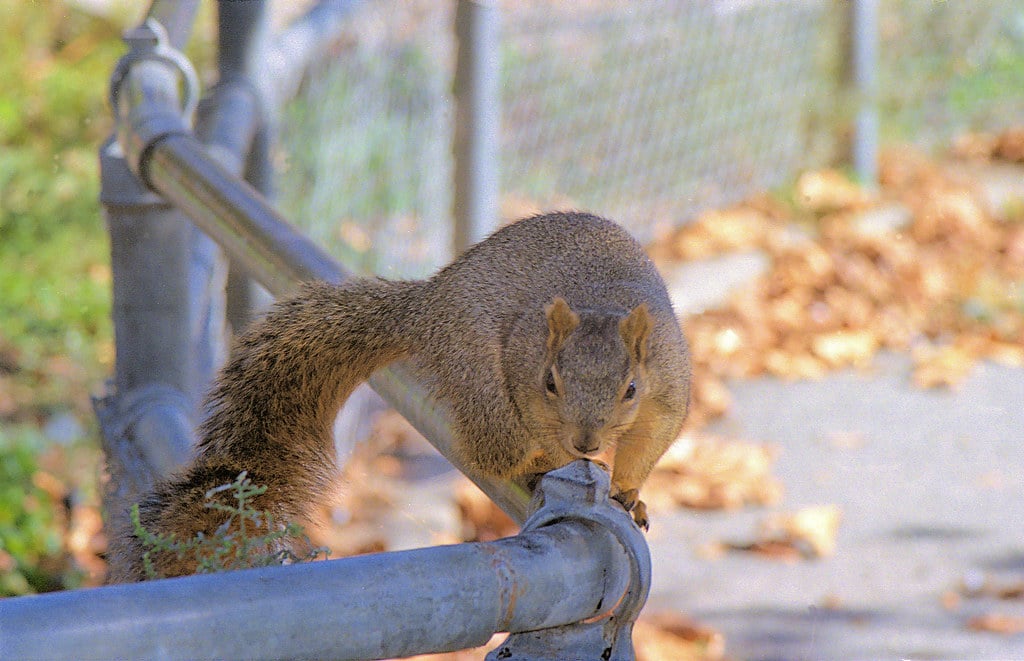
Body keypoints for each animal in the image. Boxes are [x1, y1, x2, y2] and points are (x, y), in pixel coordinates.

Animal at [106, 211, 691, 582]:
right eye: (551, 382)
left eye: (630, 389)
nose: (586, 443)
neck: (601, 302)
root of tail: (426, 309)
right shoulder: (524, 377)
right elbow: (539, 435)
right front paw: (560, 461)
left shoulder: (667, 388)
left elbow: (651, 442)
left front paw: (628, 492)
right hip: (479, 383)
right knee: (493, 449)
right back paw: (533, 468)